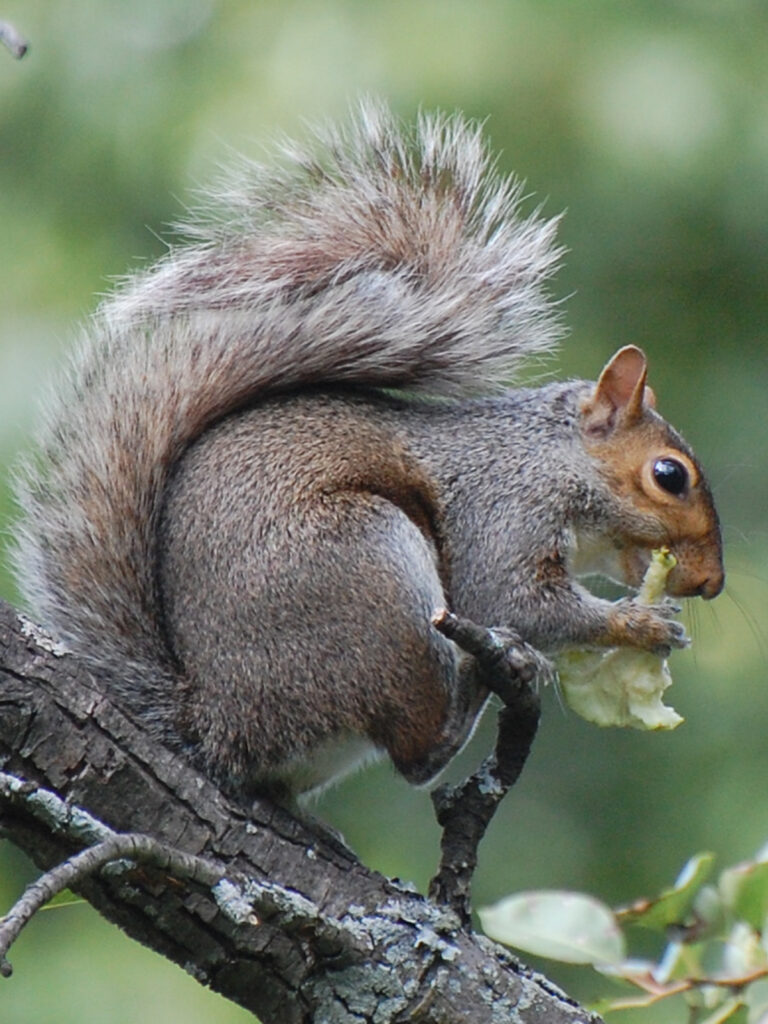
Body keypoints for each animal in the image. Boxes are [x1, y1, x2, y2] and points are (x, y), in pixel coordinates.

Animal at [13, 101, 729, 798]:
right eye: (669, 475)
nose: (712, 584)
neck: (546, 458)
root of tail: (220, 723)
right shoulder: (505, 513)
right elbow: (514, 601)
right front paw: (644, 626)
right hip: (368, 569)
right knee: (416, 749)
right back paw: (481, 682)